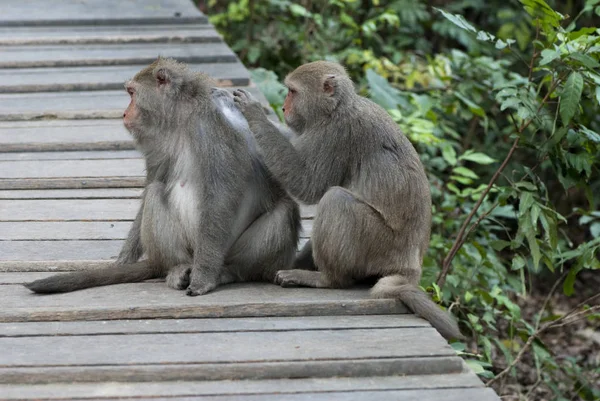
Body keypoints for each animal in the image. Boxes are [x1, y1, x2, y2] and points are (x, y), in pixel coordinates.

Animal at [24, 57, 302, 296]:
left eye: (132, 93)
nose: (124, 114)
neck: (181, 116)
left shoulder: (210, 129)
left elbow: (221, 194)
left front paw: (203, 279)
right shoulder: (157, 139)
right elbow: (152, 184)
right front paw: (123, 261)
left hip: (224, 251)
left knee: (283, 212)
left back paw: (228, 271)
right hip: (185, 248)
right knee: (156, 192)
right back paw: (177, 268)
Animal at [232, 61, 462, 340]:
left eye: (292, 92)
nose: (285, 109)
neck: (334, 110)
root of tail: (411, 267)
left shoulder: (337, 134)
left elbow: (309, 184)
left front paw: (254, 113)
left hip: (380, 245)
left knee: (336, 200)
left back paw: (327, 279)